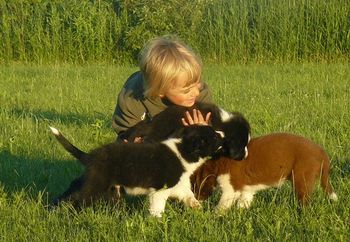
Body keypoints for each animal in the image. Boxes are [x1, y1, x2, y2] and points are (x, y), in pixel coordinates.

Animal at [50, 125, 223, 216]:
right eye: (214, 136)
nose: (223, 133)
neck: (183, 150)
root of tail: (91, 156)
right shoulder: (160, 191)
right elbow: (157, 208)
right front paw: (157, 222)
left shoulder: (178, 186)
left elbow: (189, 197)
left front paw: (200, 210)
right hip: (97, 184)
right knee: (79, 199)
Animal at [190, 132, 338, 210]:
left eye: (194, 185)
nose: (197, 200)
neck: (219, 162)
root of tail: (321, 151)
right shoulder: (247, 188)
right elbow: (243, 203)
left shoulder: (231, 188)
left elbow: (221, 207)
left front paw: (214, 217)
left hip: (302, 178)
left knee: (305, 201)